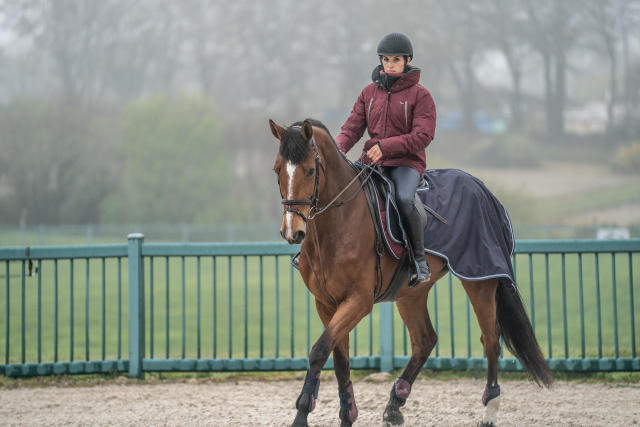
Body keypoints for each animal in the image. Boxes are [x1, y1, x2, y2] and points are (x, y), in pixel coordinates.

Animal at [268, 118, 552, 427]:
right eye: (277, 169)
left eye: (310, 169)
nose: (292, 231)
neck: (338, 224)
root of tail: (480, 186)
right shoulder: (327, 303)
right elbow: (338, 357)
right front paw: (346, 414)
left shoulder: (358, 301)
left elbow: (319, 351)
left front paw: (302, 414)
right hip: (411, 294)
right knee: (425, 340)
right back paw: (395, 404)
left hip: (480, 281)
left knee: (490, 340)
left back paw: (489, 409)